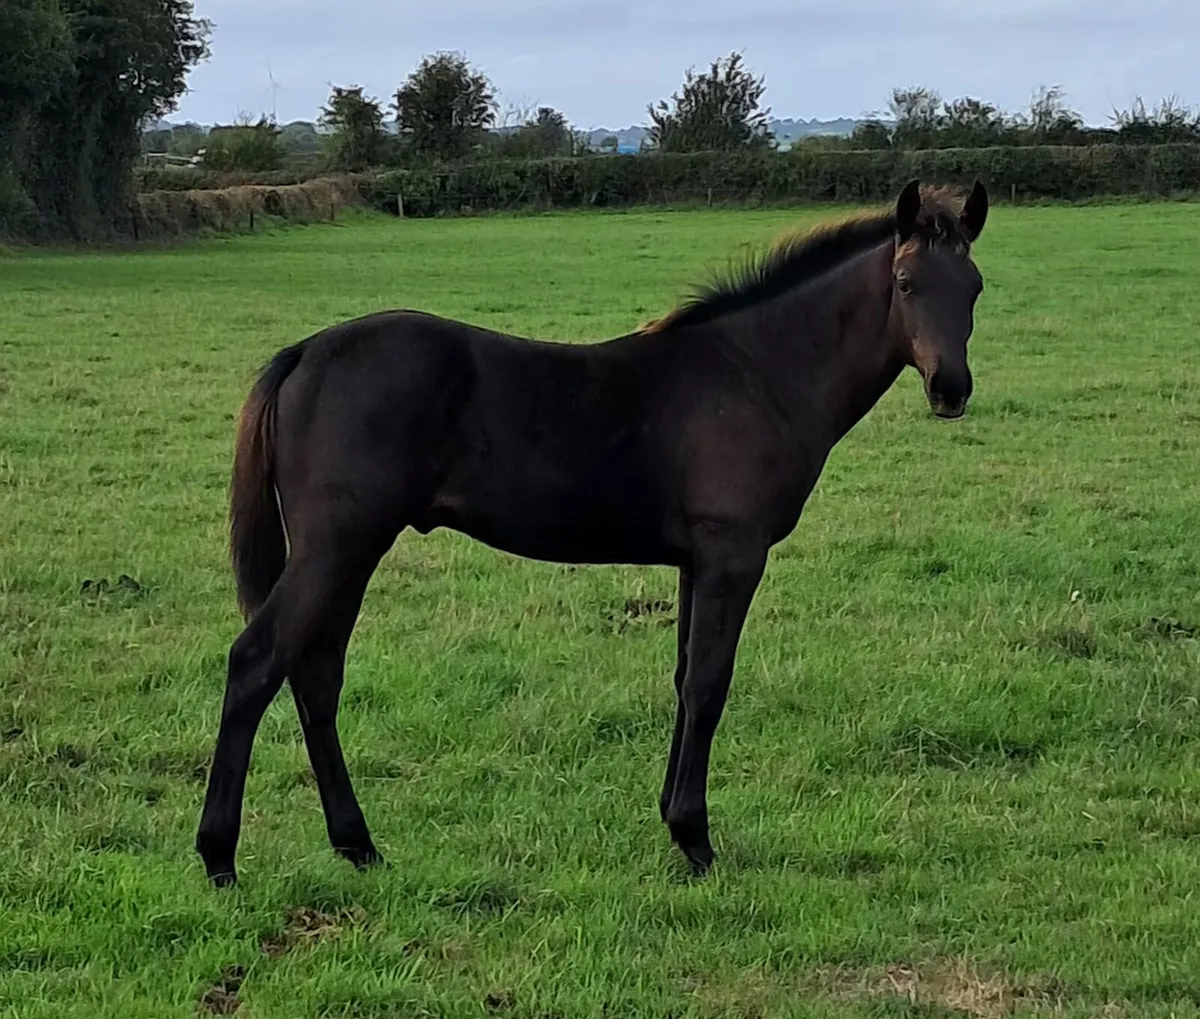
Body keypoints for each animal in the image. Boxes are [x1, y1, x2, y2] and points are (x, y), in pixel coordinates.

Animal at [196, 179, 990, 886]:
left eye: (975, 287)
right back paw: (219, 857)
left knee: (317, 673)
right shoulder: (733, 554)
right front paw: (697, 841)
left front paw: (673, 822)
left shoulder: (695, 562)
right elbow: (710, 684)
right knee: (257, 661)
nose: (950, 389)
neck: (758, 373)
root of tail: (303, 354)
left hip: (350, 552)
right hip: (336, 546)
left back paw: (357, 845)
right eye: (907, 283)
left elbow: (683, 680)